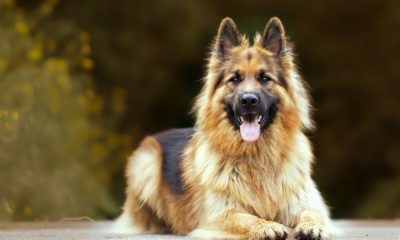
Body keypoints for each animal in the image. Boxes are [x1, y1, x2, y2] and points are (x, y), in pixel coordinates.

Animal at [114, 17, 340, 240]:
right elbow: (247, 218)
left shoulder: (305, 202)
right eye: (235, 79)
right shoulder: (219, 215)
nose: (248, 101)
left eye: (264, 78)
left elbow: (313, 213)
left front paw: (311, 226)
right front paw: (266, 226)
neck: (256, 157)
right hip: (147, 164)